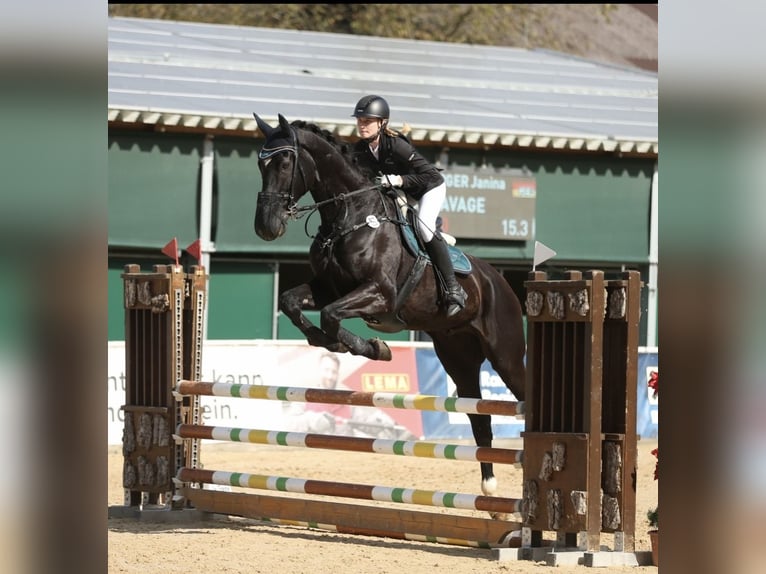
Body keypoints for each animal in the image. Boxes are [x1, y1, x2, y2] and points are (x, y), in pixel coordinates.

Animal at [252, 113, 527, 516]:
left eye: (285, 163)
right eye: (260, 164)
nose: (266, 227)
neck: (349, 215)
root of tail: (500, 281)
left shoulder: (380, 293)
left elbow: (332, 316)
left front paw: (369, 347)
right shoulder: (327, 288)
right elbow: (292, 303)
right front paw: (330, 342)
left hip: (505, 354)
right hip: (457, 357)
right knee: (479, 417)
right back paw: (491, 496)